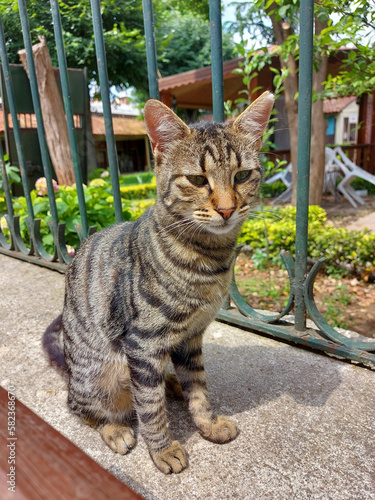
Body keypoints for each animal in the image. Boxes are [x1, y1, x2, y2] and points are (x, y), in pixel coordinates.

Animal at [43, 92, 274, 474]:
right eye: (198, 180)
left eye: (242, 175)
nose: (227, 209)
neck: (210, 260)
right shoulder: (142, 342)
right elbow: (150, 408)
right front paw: (162, 450)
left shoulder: (191, 337)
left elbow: (199, 386)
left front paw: (207, 422)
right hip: (98, 375)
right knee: (81, 406)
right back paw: (115, 428)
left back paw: (172, 383)